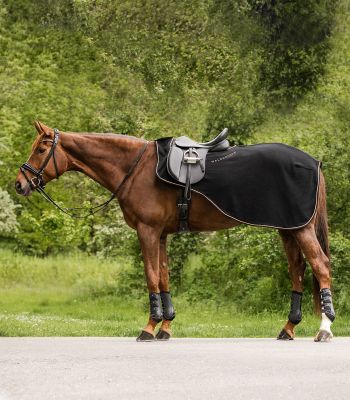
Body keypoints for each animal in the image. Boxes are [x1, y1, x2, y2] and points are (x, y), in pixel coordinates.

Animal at [15, 121, 334, 340]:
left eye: (41, 149)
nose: (20, 184)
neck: (136, 169)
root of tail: (313, 162)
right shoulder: (162, 234)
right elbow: (164, 275)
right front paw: (166, 326)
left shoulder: (147, 231)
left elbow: (151, 276)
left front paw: (149, 327)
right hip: (288, 229)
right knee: (297, 270)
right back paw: (289, 328)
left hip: (302, 230)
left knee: (321, 266)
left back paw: (324, 328)